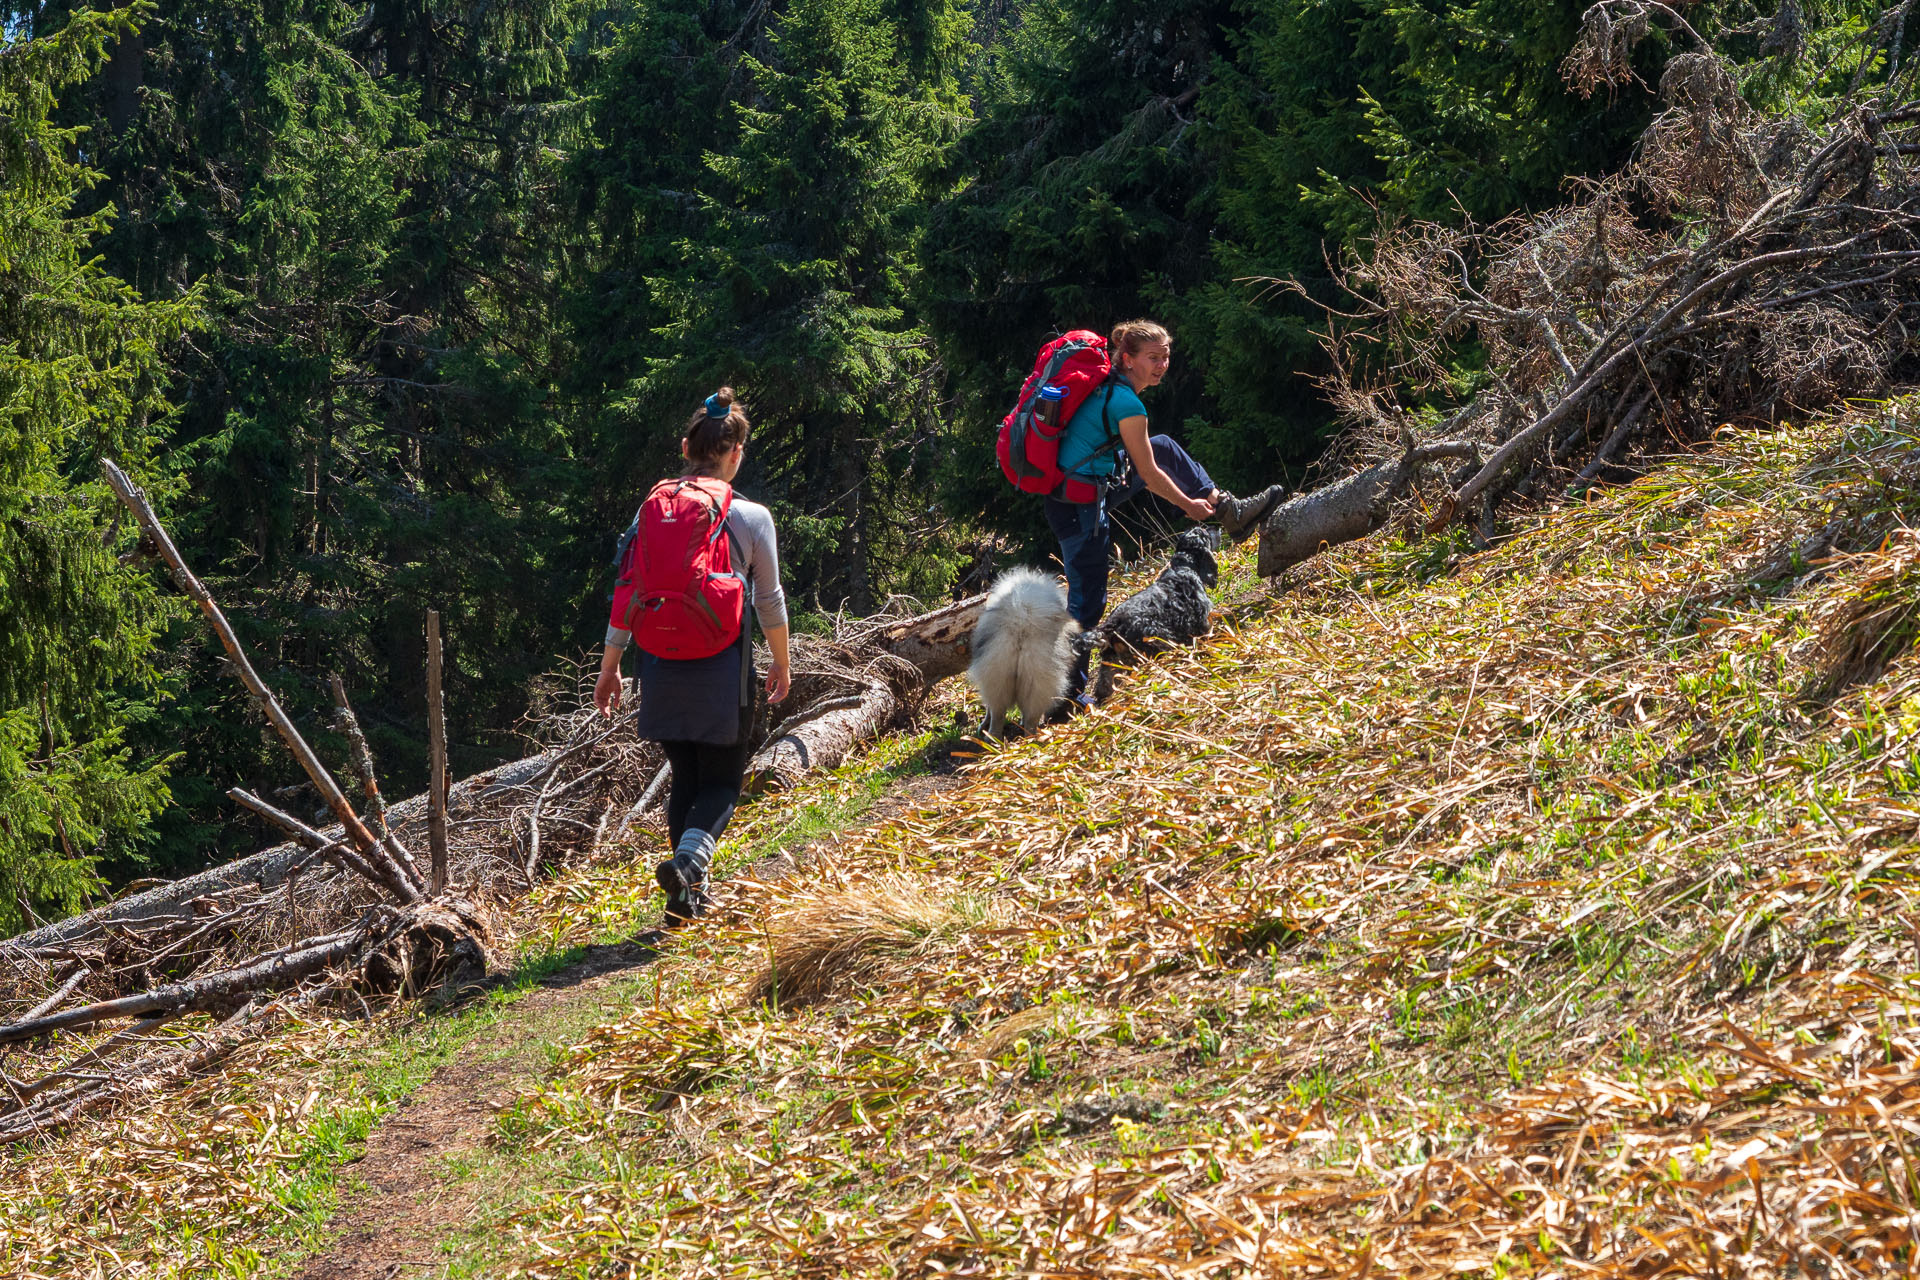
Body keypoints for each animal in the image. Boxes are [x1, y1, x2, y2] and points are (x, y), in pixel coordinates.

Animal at [975, 571, 1082, 740]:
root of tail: (1021, 623)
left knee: (998, 714)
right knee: (1029, 719)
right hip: (1036, 682)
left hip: (999, 678)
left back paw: (993, 739)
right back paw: (1031, 740)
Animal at [1082, 529, 1213, 710]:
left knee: (1105, 684)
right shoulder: (1201, 622)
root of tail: (1111, 625)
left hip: (1112, 659)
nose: (1205, 528)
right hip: (1155, 646)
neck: (1183, 567)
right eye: (1203, 536)